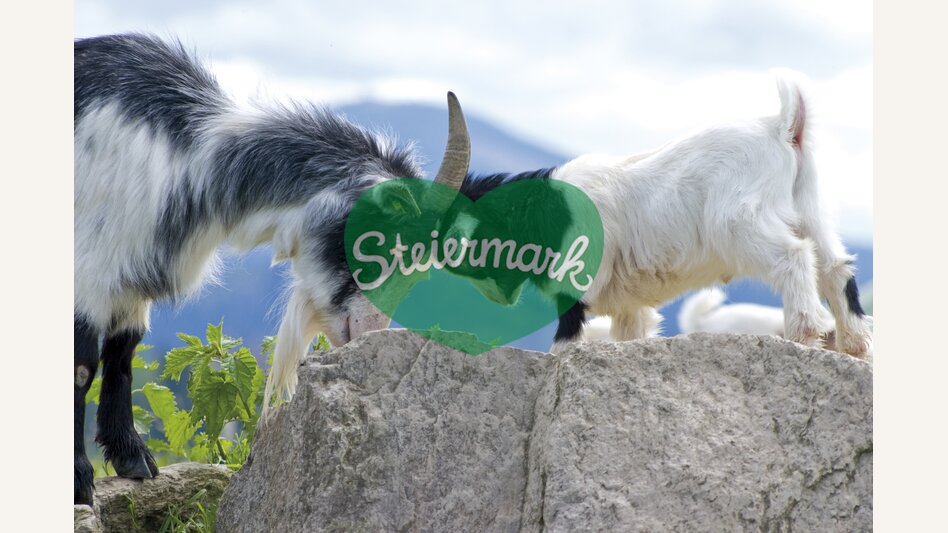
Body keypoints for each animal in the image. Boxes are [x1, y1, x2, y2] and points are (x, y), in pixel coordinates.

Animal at [73, 33, 472, 505]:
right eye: (374, 243)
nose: (369, 333)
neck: (194, 156)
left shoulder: (131, 281)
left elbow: (123, 353)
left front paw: (133, 459)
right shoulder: (88, 271)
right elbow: (83, 366)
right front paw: (79, 481)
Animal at [458, 72, 872, 359]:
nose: (494, 295)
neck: (547, 206)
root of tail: (781, 126)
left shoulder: (580, 272)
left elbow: (569, 331)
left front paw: (559, 360)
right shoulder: (627, 305)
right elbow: (630, 333)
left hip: (740, 223)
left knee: (793, 256)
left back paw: (804, 332)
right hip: (810, 208)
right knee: (835, 268)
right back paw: (853, 344)